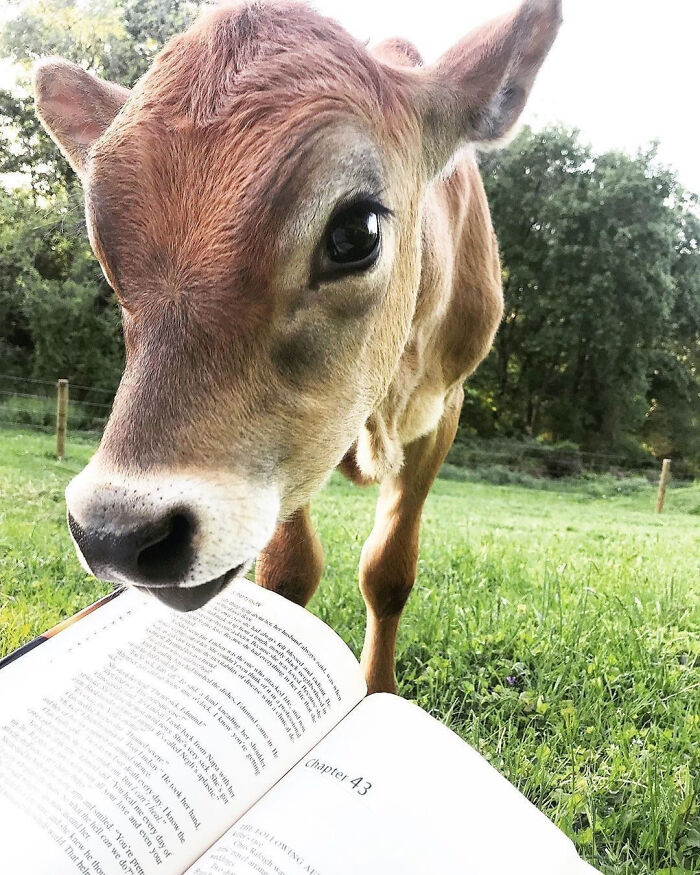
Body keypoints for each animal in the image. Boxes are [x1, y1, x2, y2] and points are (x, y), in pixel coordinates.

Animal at [34, 0, 561, 693]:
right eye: (105, 254)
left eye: (357, 230)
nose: (116, 534)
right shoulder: (285, 448)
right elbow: (287, 572)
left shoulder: (446, 406)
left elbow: (389, 569)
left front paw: (377, 693)